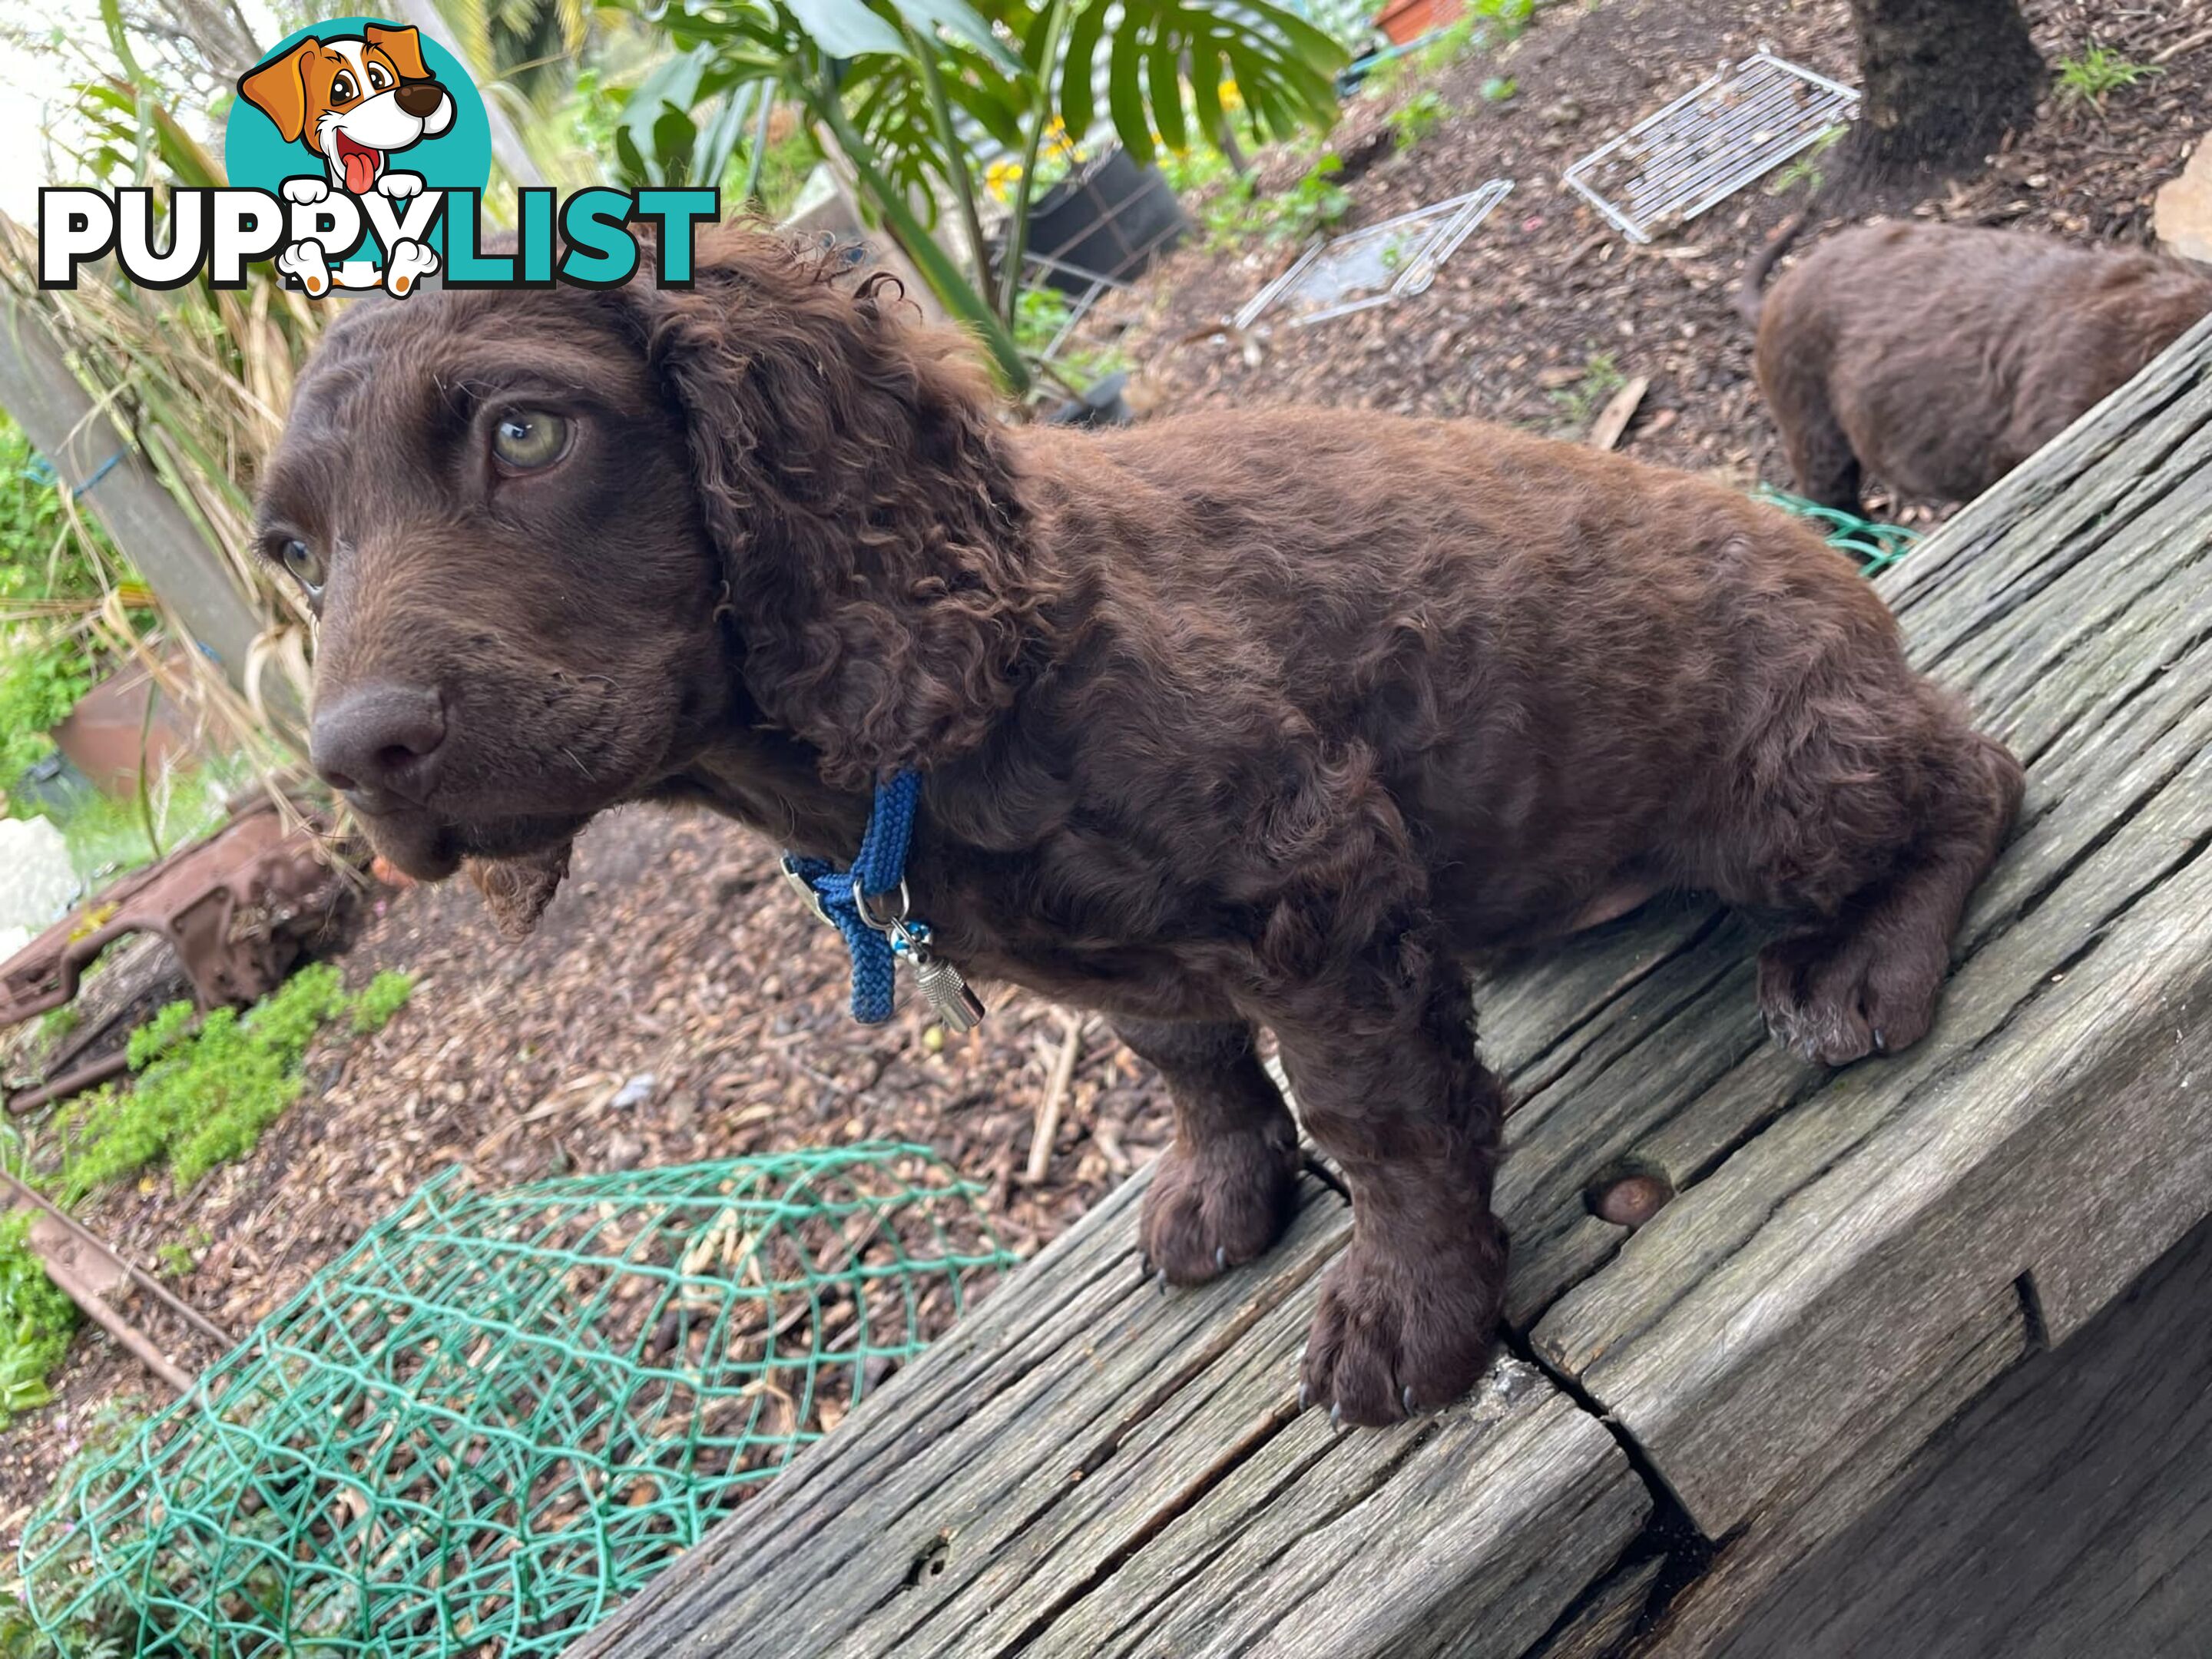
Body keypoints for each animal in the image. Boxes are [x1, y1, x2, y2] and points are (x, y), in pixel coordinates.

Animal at [254, 230, 2026, 1433]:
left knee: (1978, 775)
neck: (925, 733)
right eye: (294, 555)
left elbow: (1381, 1125)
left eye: (524, 433)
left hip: (1784, 787)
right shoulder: (1154, 956)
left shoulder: (1314, 879)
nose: (355, 758)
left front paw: (1411, 1310)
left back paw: (1863, 960)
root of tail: (1836, 567)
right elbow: (1192, 1065)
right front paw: (1225, 1189)